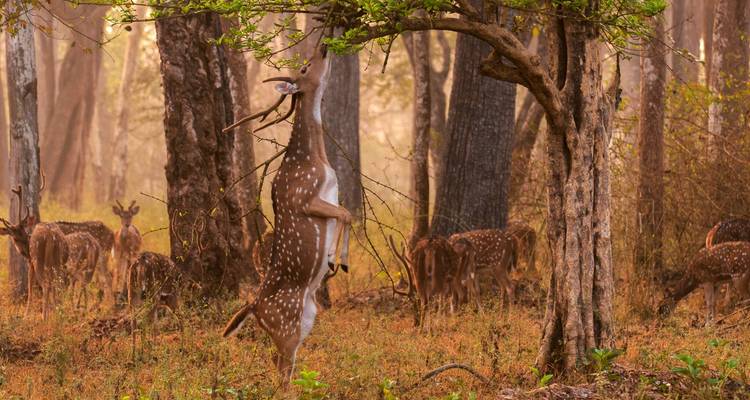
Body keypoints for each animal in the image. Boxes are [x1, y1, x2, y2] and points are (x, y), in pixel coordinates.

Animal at [221, 44, 352, 384]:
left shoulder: (330, 196)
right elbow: (345, 214)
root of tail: (253, 307)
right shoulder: (304, 198)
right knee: (280, 369)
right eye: (304, 69)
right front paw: (334, 259)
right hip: (287, 324)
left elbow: (346, 213)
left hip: (306, 319)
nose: (324, 46)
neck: (315, 159)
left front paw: (336, 260)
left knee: (279, 363)